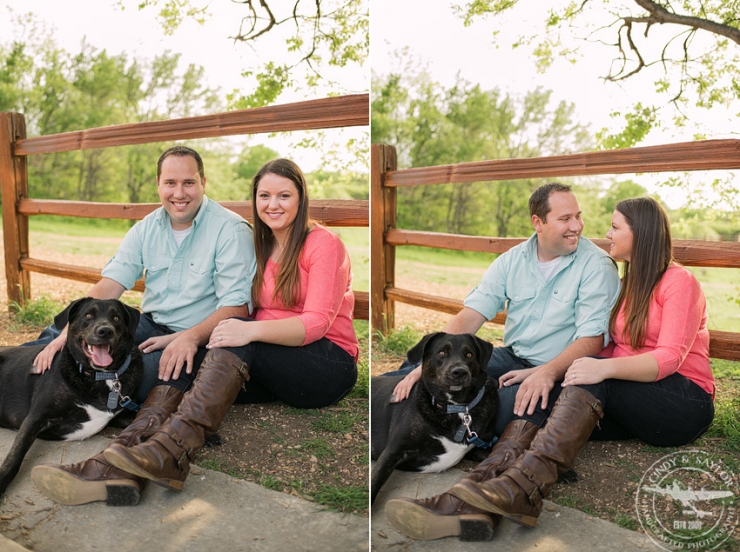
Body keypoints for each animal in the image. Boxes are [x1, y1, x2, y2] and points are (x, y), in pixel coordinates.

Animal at [0, 298, 142, 496]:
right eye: (88, 315)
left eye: (116, 318)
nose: (105, 331)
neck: (101, 376)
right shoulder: (35, 418)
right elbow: (14, 457)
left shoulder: (123, 415)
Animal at [370, 332, 498, 504]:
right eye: (441, 353)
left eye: (469, 354)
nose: (459, 372)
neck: (456, 407)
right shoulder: (393, 450)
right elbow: (375, 481)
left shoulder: (481, 445)